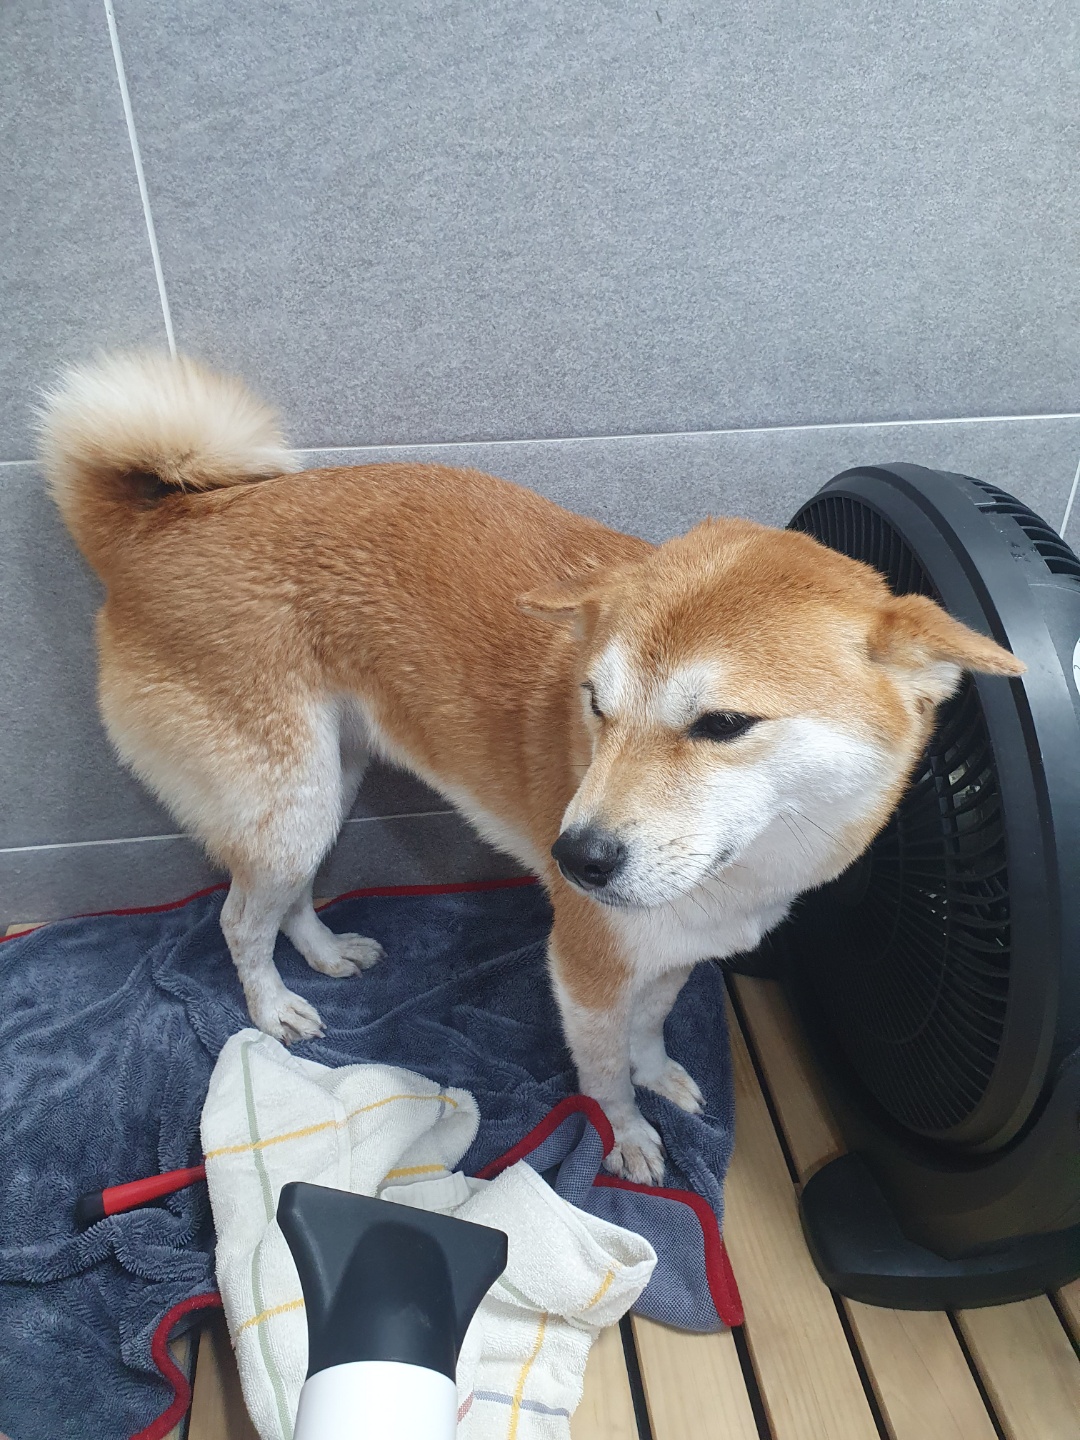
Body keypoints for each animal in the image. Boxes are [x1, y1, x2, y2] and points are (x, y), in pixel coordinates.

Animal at [38, 352, 1024, 1182]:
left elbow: (651, 1031)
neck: (749, 871)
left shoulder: (668, 952)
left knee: (288, 898)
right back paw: (274, 1007)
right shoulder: (584, 962)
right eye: (595, 703)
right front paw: (625, 1137)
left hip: (321, 791)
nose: (574, 859)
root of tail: (153, 530)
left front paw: (662, 1076)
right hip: (290, 799)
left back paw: (323, 954)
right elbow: (604, 1071)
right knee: (240, 919)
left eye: (724, 724)